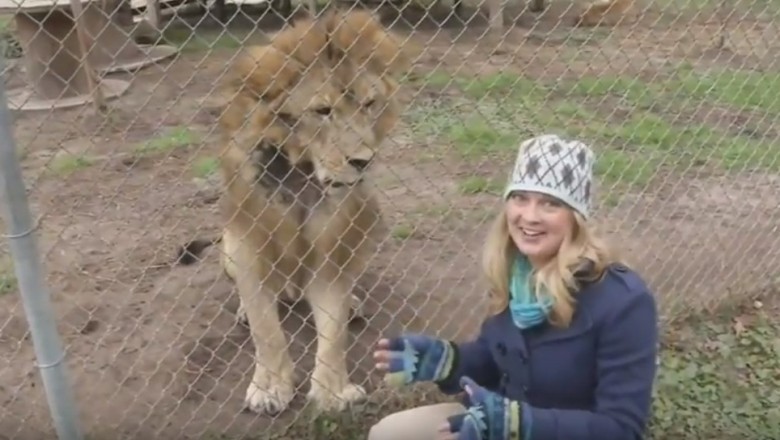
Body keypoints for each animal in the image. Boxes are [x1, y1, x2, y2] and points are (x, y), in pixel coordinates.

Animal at [180, 9, 412, 416]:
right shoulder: (248, 244)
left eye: (368, 104)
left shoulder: (333, 250)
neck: (303, 174)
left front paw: (333, 392)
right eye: (322, 111)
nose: (363, 161)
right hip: (228, 248)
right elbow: (266, 329)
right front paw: (271, 388)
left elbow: (333, 332)